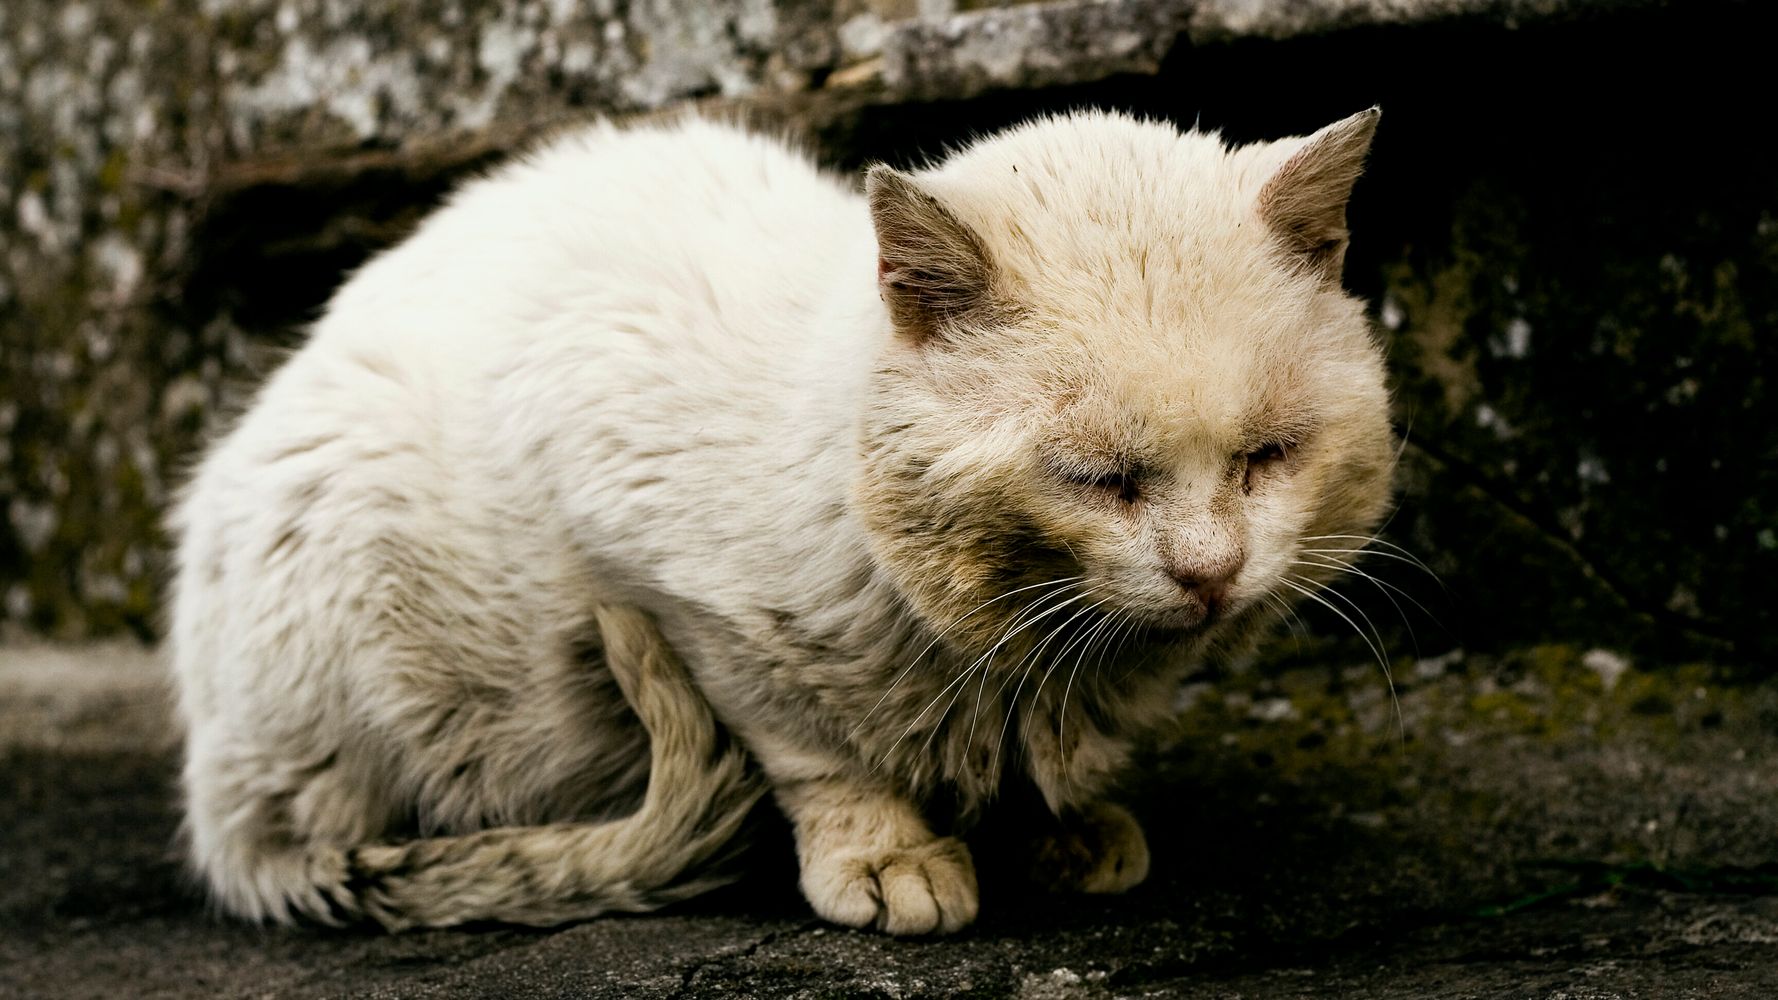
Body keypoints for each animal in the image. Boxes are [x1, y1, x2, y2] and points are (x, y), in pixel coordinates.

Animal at [167, 104, 1393, 932]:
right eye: (1100, 478)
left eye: (1266, 456)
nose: (1211, 570)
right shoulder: (667, 582)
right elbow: (813, 748)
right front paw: (887, 855)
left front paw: (1062, 826)